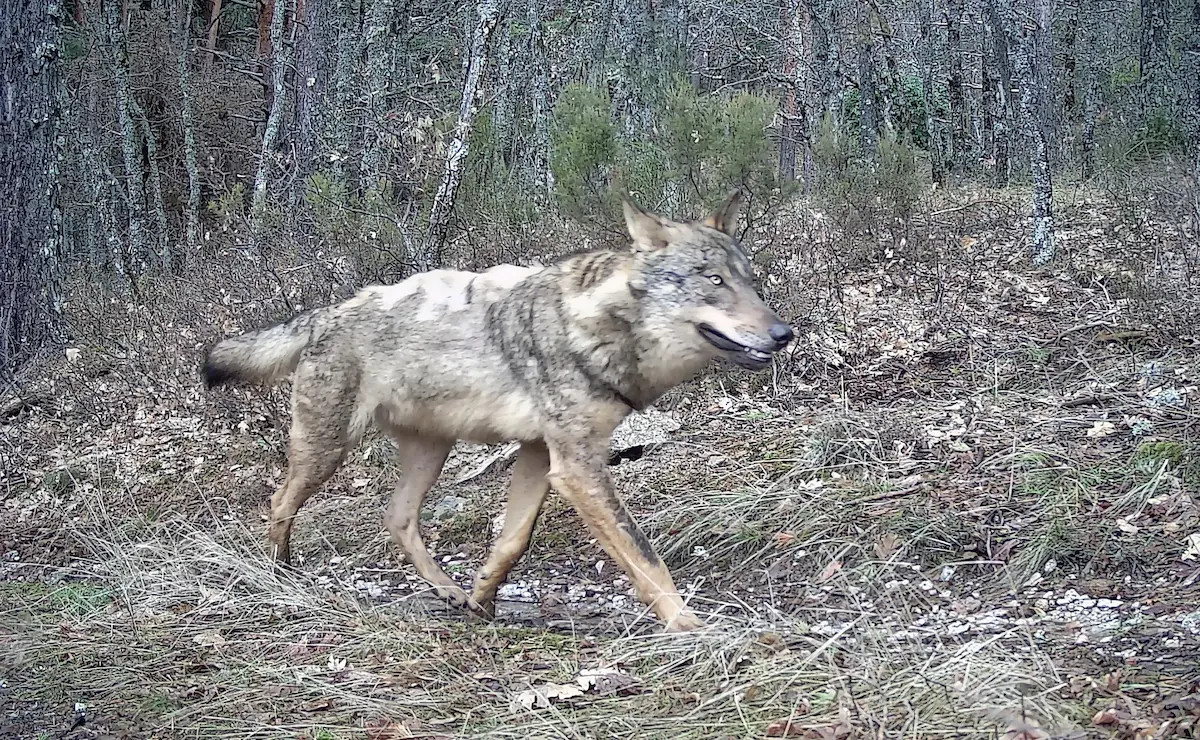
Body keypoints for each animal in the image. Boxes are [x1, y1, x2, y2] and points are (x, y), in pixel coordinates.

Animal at [201, 191, 793, 632]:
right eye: (713, 281)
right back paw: (279, 574)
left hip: (430, 452)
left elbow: (512, 541)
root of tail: (325, 313)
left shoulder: (539, 455)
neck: (601, 329)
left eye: (749, 280)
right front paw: (689, 628)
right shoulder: (577, 467)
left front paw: (484, 597)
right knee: (280, 502)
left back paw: (449, 591)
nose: (784, 334)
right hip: (327, 449)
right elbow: (644, 556)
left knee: (397, 518)